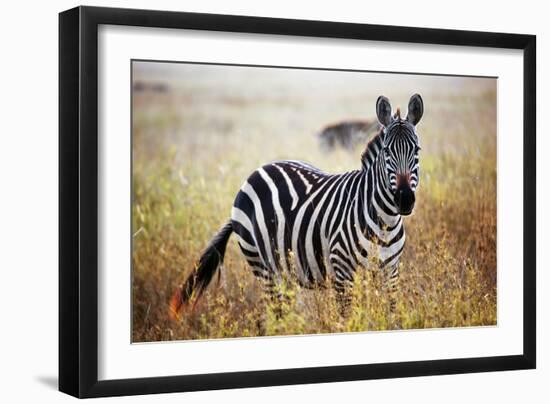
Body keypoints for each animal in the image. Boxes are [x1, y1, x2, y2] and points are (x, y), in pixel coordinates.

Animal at [170, 93, 424, 318]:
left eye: (417, 150)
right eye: (387, 151)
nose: (404, 199)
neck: (385, 221)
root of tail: (258, 170)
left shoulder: (391, 272)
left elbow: (390, 316)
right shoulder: (342, 272)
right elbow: (347, 319)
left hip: (286, 270)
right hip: (263, 267)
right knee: (276, 315)